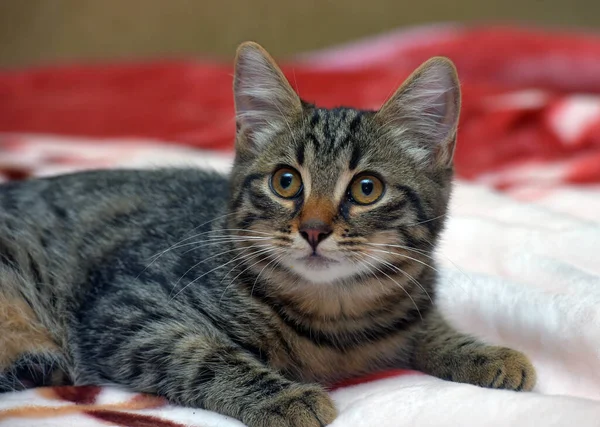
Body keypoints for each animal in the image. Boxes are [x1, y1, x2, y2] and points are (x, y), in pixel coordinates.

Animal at [0, 44, 536, 427]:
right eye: (286, 182)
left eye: (367, 188)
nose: (315, 229)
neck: (335, 315)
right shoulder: (126, 309)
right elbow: (203, 355)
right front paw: (281, 397)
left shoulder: (407, 307)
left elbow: (428, 329)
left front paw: (482, 351)